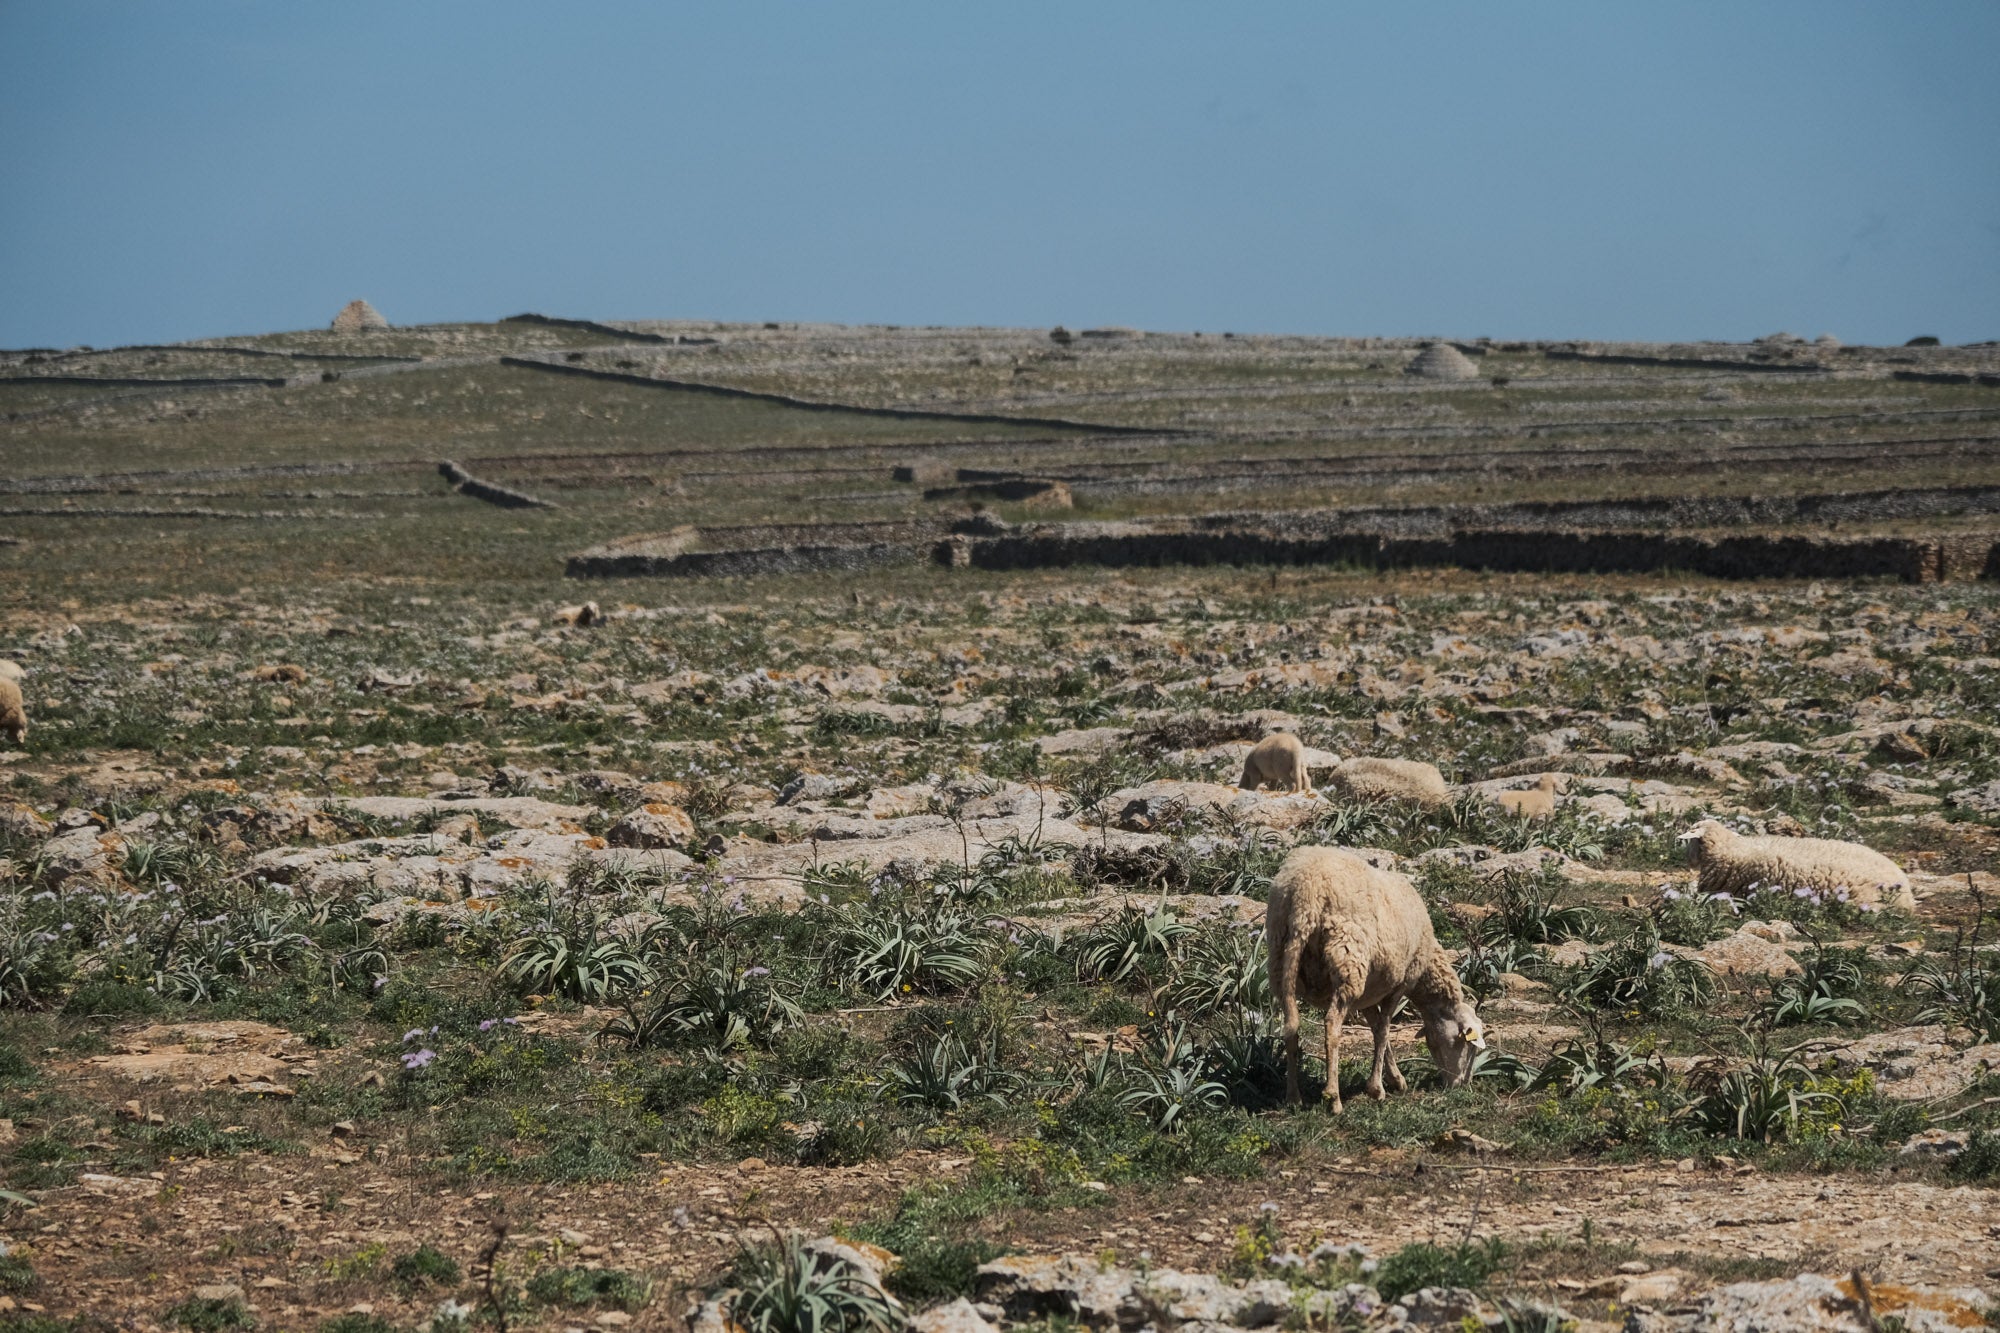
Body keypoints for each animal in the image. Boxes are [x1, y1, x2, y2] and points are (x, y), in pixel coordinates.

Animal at [1264, 840, 1488, 1112]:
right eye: (1470, 1046)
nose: (1461, 1085)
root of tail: (1306, 893)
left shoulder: (1370, 993)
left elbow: (1375, 1028)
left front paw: (1394, 1079)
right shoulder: (1400, 982)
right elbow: (1383, 1030)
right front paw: (1377, 1089)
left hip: (1280, 957)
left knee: (1291, 1027)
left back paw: (1293, 1097)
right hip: (1348, 961)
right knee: (1331, 1025)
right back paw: (1333, 1098)